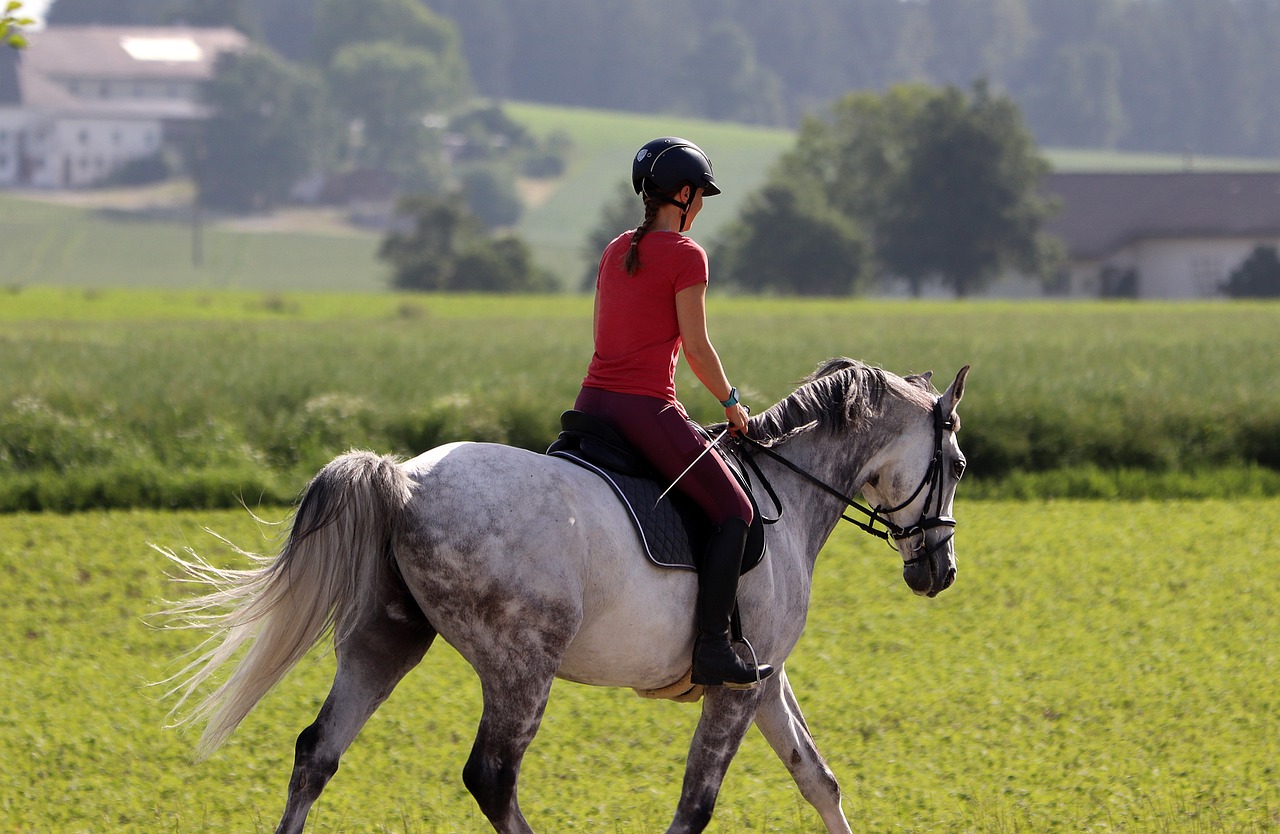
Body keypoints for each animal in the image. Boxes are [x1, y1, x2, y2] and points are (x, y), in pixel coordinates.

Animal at [165, 358, 972, 834]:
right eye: (958, 463)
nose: (939, 571)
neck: (790, 491)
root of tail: (405, 480)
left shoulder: (763, 679)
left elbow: (817, 779)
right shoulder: (737, 689)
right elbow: (696, 805)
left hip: (383, 642)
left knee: (317, 754)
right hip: (521, 667)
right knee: (492, 778)